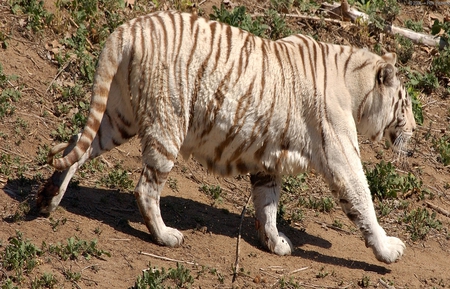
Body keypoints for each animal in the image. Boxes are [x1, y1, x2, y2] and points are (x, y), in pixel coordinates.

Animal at [38, 11, 414, 264]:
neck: (356, 87)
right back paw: (165, 236)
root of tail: (128, 28)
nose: (414, 130)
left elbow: (267, 206)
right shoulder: (341, 156)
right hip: (167, 123)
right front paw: (388, 250)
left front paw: (274, 243)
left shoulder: (268, 161)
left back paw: (48, 198)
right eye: (406, 104)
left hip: (118, 117)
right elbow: (363, 201)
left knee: (76, 144)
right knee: (145, 188)